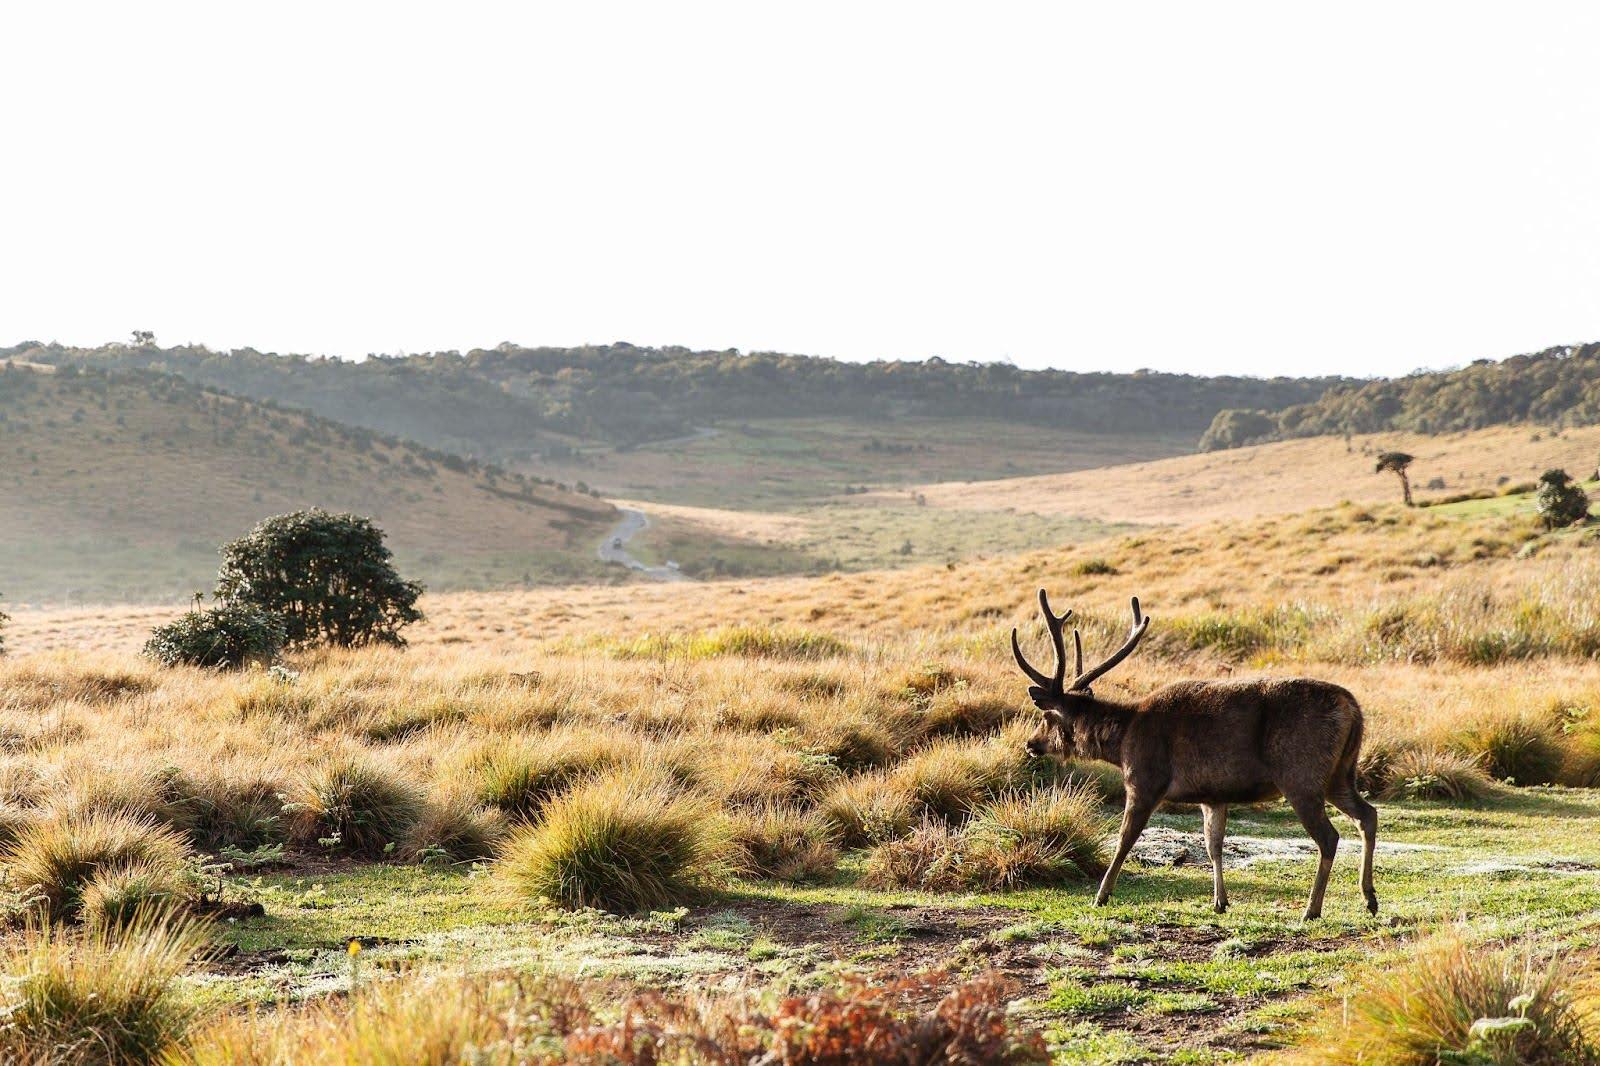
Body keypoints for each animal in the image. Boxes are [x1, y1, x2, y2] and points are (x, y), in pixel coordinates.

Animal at [1012, 590, 1377, 920]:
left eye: (1047, 717)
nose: (1031, 744)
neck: (1123, 740)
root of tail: (1353, 708)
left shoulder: (1145, 780)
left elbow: (1123, 839)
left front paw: (1101, 895)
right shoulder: (1212, 795)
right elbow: (1214, 844)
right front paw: (1220, 902)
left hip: (1301, 775)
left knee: (1329, 837)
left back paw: (1312, 910)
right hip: (1340, 773)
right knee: (1368, 814)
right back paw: (1369, 898)